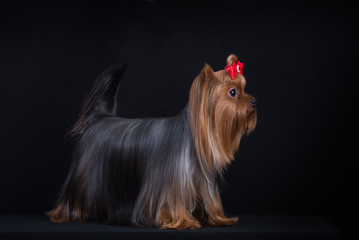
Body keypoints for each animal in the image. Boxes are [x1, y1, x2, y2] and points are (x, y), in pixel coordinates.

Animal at [47, 53, 256, 230]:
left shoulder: (202, 182)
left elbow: (210, 203)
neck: (193, 138)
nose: (254, 101)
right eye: (232, 92)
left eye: (244, 89)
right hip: (83, 172)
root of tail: (100, 118)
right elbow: (174, 205)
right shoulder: (172, 184)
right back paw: (64, 215)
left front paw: (220, 220)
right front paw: (184, 222)